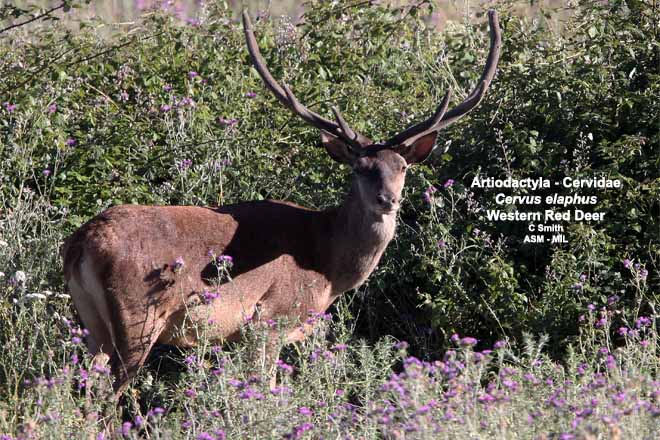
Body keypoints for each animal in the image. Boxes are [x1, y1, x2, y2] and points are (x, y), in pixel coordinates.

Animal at [61, 10, 501, 395]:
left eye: (403, 166)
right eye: (360, 167)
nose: (387, 199)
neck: (327, 266)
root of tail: (80, 244)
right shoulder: (271, 317)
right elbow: (268, 388)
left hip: (92, 324)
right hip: (138, 316)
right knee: (109, 393)